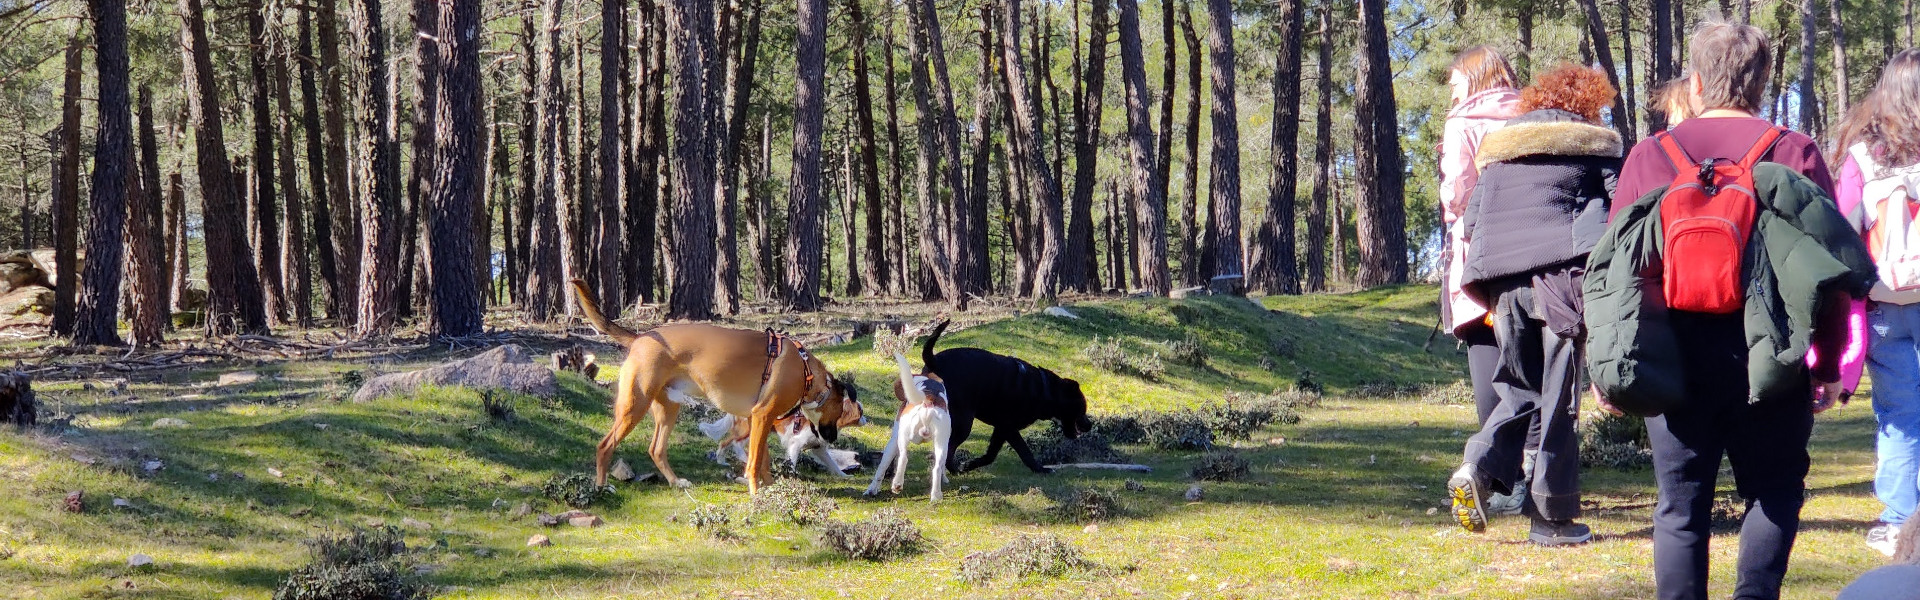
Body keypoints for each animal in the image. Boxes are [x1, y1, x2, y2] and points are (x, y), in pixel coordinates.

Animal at [560, 280, 856, 492]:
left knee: (656, 449)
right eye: (840, 412)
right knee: (605, 446)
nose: (831, 439)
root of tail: (641, 336)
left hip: (668, 409)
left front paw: (770, 488)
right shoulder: (762, 417)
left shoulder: (757, 419)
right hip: (635, 406)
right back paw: (601, 488)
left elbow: (763, 460)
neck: (805, 372)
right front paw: (755, 492)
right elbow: (754, 463)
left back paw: (675, 482)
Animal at [871, 351, 952, 500]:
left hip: (902, 436)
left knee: (903, 458)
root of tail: (928, 400)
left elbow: (881, 469)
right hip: (941, 443)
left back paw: (897, 484)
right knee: (937, 468)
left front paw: (872, 489)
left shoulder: (892, 442)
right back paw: (936, 495)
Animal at [917, 321, 1090, 471]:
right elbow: (1025, 451)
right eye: (1082, 409)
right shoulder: (1009, 427)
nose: (1089, 425)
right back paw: (953, 470)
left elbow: (991, 455)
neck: (1044, 390)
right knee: (949, 448)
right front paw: (1040, 469)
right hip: (963, 423)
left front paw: (971, 464)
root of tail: (934, 361)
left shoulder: (1001, 429)